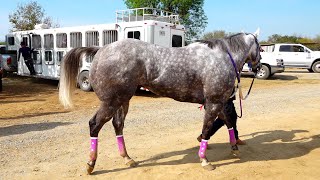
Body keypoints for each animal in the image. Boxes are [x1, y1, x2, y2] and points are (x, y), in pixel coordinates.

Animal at [58, 29, 262, 174]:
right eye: (260, 48)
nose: (258, 66)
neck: (221, 58)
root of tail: (101, 50)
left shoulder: (217, 102)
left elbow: (227, 121)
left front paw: (234, 148)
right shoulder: (213, 102)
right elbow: (207, 129)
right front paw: (205, 160)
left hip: (122, 101)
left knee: (118, 125)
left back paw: (127, 158)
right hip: (110, 102)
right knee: (94, 125)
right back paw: (91, 164)